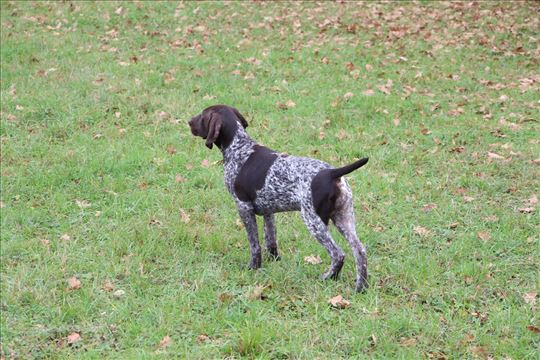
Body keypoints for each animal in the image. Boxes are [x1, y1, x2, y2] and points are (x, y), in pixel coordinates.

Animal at [188, 104, 370, 292]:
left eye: (202, 115)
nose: (189, 122)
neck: (238, 147)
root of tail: (332, 173)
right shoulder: (268, 211)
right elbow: (271, 240)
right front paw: (274, 261)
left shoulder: (244, 207)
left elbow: (255, 244)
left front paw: (253, 267)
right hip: (344, 218)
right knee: (360, 251)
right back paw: (360, 287)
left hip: (314, 221)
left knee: (338, 254)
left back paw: (328, 277)